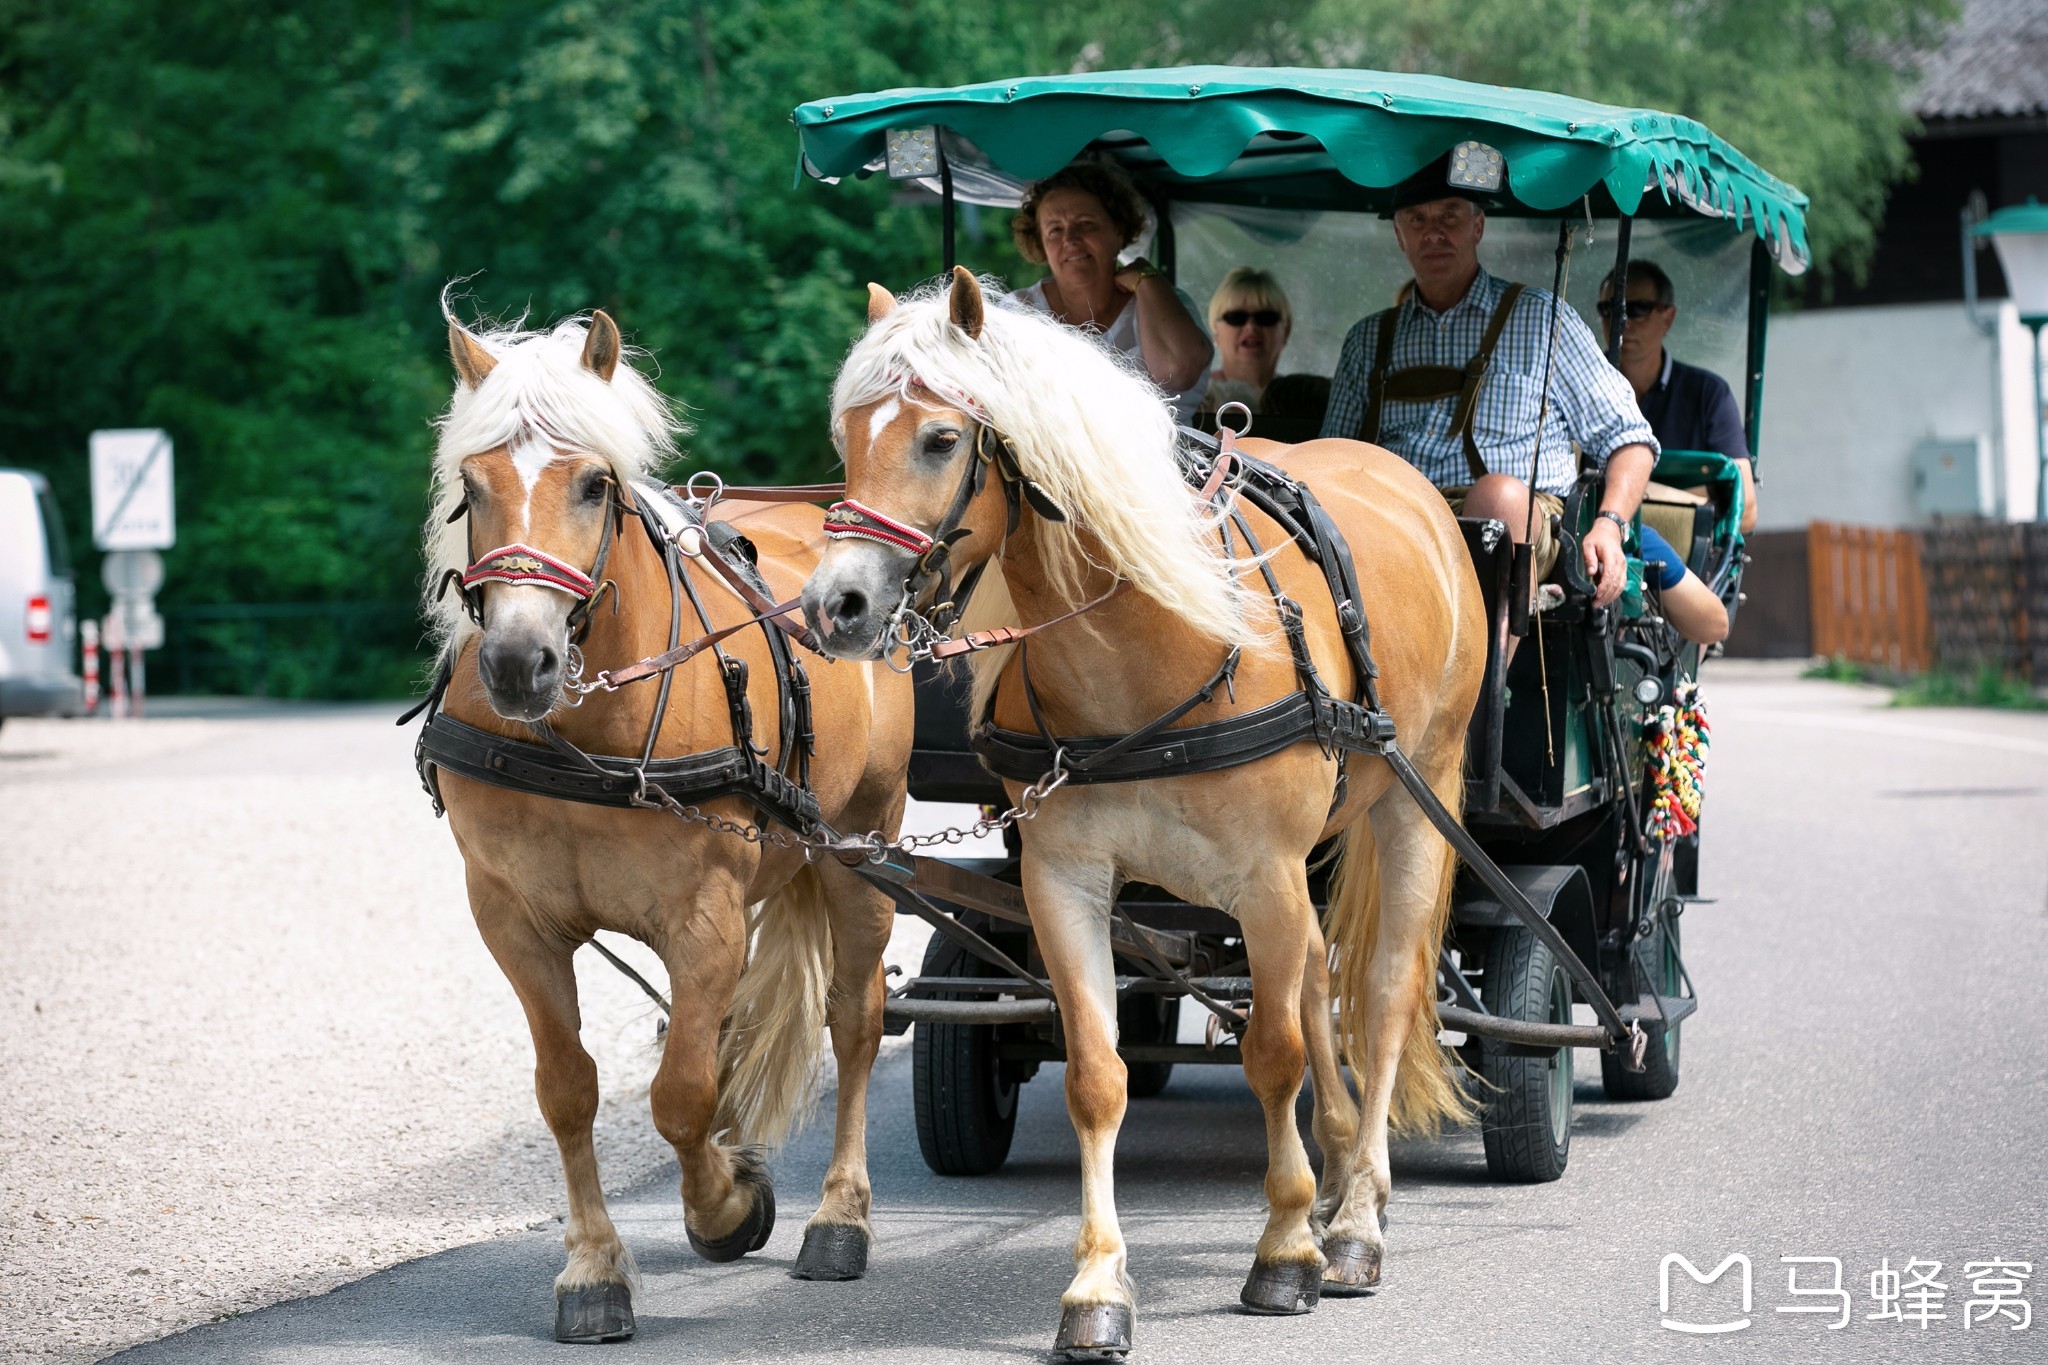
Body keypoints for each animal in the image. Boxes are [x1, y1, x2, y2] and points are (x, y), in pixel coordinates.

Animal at [423, 309, 913, 1342]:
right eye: (472, 488)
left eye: (593, 484)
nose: (520, 661)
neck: (584, 728)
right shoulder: (514, 921)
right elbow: (569, 1088)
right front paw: (593, 1268)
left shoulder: (705, 918)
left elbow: (682, 1093)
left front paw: (726, 1203)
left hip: (862, 844)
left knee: (853, 1021)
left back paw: (839, 1218)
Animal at [802, 266, 1490, 1358]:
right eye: (845, 439)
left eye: (941, 439)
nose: (834, 608)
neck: (1145, 646)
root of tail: (1405, 479)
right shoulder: (1066, 882)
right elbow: (1100, 1074)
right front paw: (1095, 1286)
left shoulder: (1264, 877)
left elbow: (1273, 1054)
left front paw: (1284, 1252)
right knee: (1314, 986)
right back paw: (1336, 1169)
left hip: (1414, 802)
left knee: (1379, 1001)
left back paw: (1355, 1221)